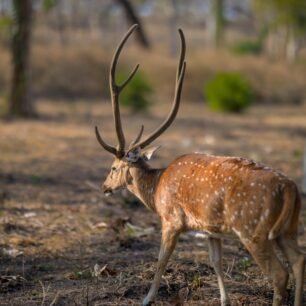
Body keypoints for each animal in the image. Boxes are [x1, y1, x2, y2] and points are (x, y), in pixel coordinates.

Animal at [94, 24, 304, 306]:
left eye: (113, 167)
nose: (104, 187)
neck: (156, 190)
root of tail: (291, 189)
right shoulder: (211, 230)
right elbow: (216, 262)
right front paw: (225, 300)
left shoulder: (171, 219)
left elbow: (161, 259)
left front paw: (146, 299)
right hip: (288, 229)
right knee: (300, 260)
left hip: (253, 230)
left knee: (280, 274)